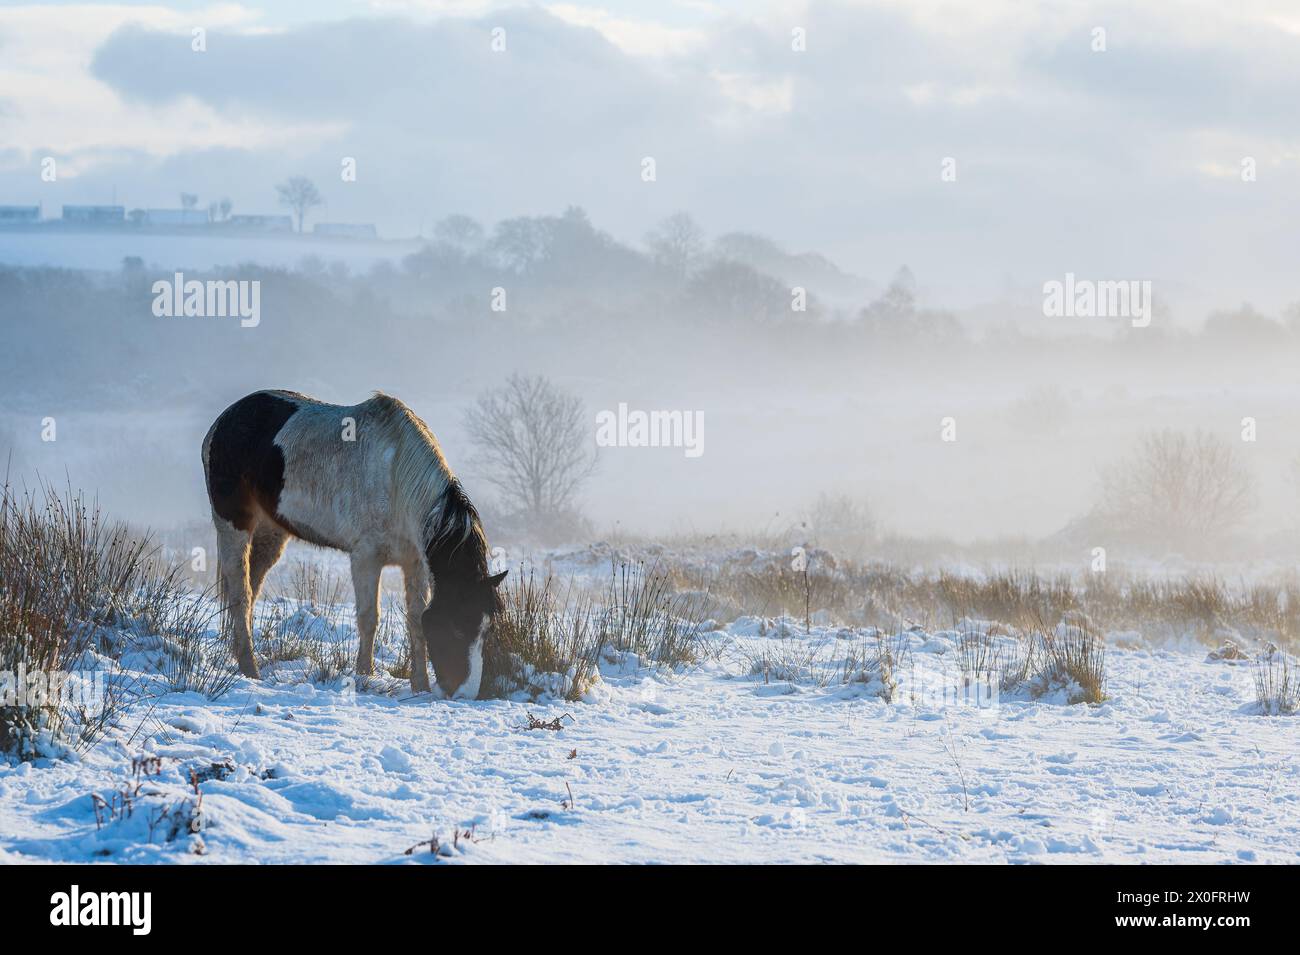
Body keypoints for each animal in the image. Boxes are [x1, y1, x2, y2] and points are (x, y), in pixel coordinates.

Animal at [200, 392, 504, 696]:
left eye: (487, 630)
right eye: (457, 627)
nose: (463, 693)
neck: (395, 478)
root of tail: (224, 420)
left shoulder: (414, 562)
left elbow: (416, 620)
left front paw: (420, 685)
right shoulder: (366, 558)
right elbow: (369, 618)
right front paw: (364, 676)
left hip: (270, 533)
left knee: (252, 587)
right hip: (233, 526)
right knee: (241, 595)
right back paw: (250, 670)